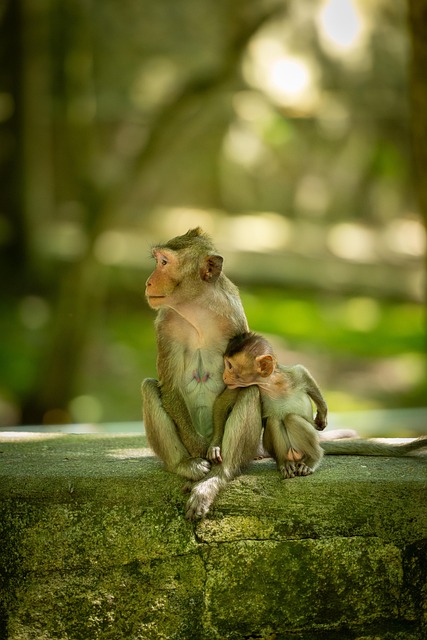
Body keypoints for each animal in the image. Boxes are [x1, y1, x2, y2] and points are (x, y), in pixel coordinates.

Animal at [141, 228, 262, 520]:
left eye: (164, 262)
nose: (148, 283)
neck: (197, 310)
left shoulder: (235, 319)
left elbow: (238, 385)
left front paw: (215, 449)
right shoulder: (164, 324)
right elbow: (169, 387)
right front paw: (199, 453)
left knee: (251, 391)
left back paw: (216, 477)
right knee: (149, 388)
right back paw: (186, 464)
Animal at [208, 332, 327, 478]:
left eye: (229, 365)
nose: (224, 376)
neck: (270, 384)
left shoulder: (291, 375)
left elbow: (303, 373)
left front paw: (322, 414)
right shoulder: (241, 386)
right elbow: (221, 403)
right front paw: (215, 446)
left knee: (291, 418)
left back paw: (312, 459)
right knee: (274, 420)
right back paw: (285, 463)